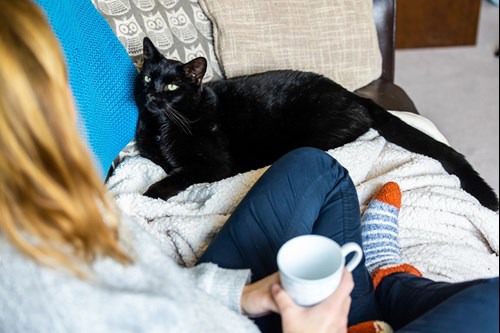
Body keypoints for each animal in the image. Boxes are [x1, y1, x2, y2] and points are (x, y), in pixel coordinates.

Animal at [135, 38, 498, 210]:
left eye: (172, 87)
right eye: (148, 77)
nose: (151, 95)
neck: (164, 126)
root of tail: (352, 95)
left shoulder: (214, 164)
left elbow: (178, 175)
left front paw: (150, 194)